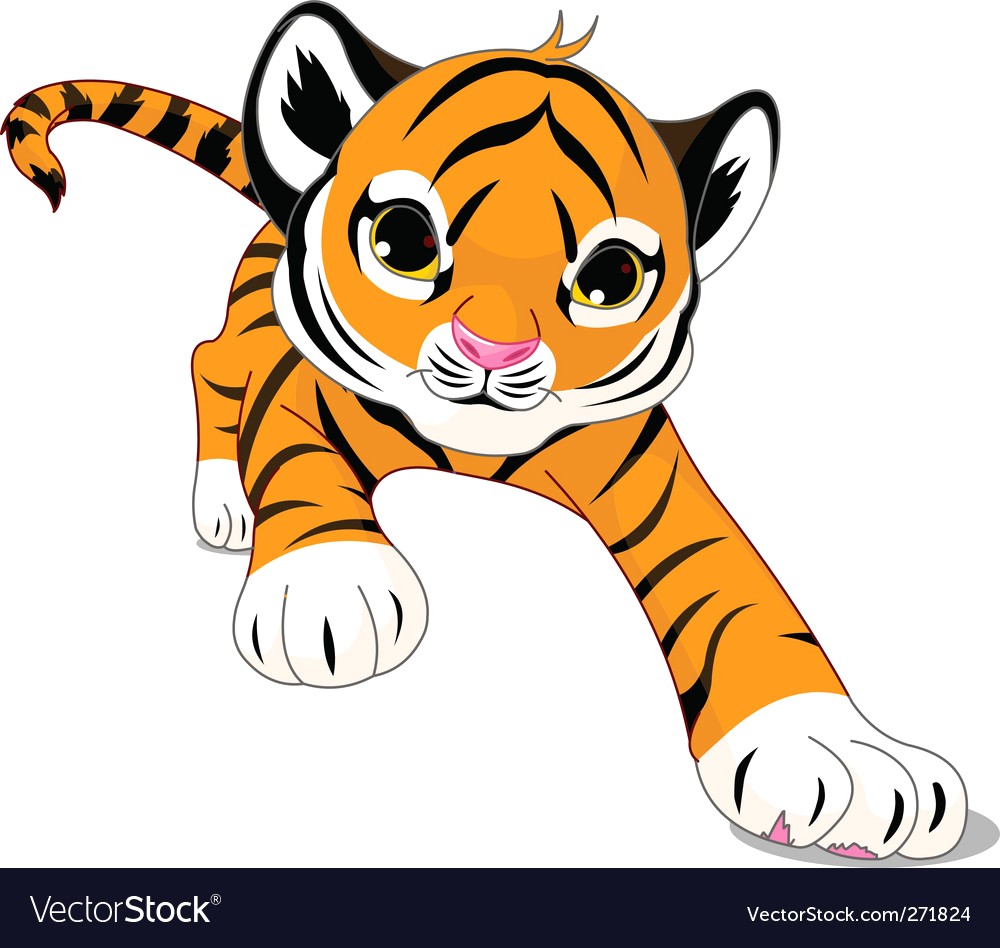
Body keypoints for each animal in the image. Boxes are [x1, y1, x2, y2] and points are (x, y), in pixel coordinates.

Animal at [4, 1, 967, 861]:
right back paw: (225, 505)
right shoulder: (298, 392)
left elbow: (743, 598)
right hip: (249, 328)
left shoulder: (658, 480)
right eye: (403, 241)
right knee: (207, 359)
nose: (493, 349)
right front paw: (328, 588)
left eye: (611, 278)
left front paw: (838, 753)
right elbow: (300, 471)